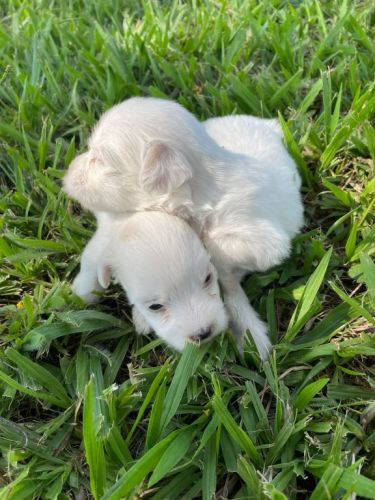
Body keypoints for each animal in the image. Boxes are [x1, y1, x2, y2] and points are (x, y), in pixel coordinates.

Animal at [71, 211, 228, 352]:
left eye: (208, 278)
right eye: (155, 306)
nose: (203, 333)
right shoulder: (104, 235)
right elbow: (91, 259)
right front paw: (83, 293)